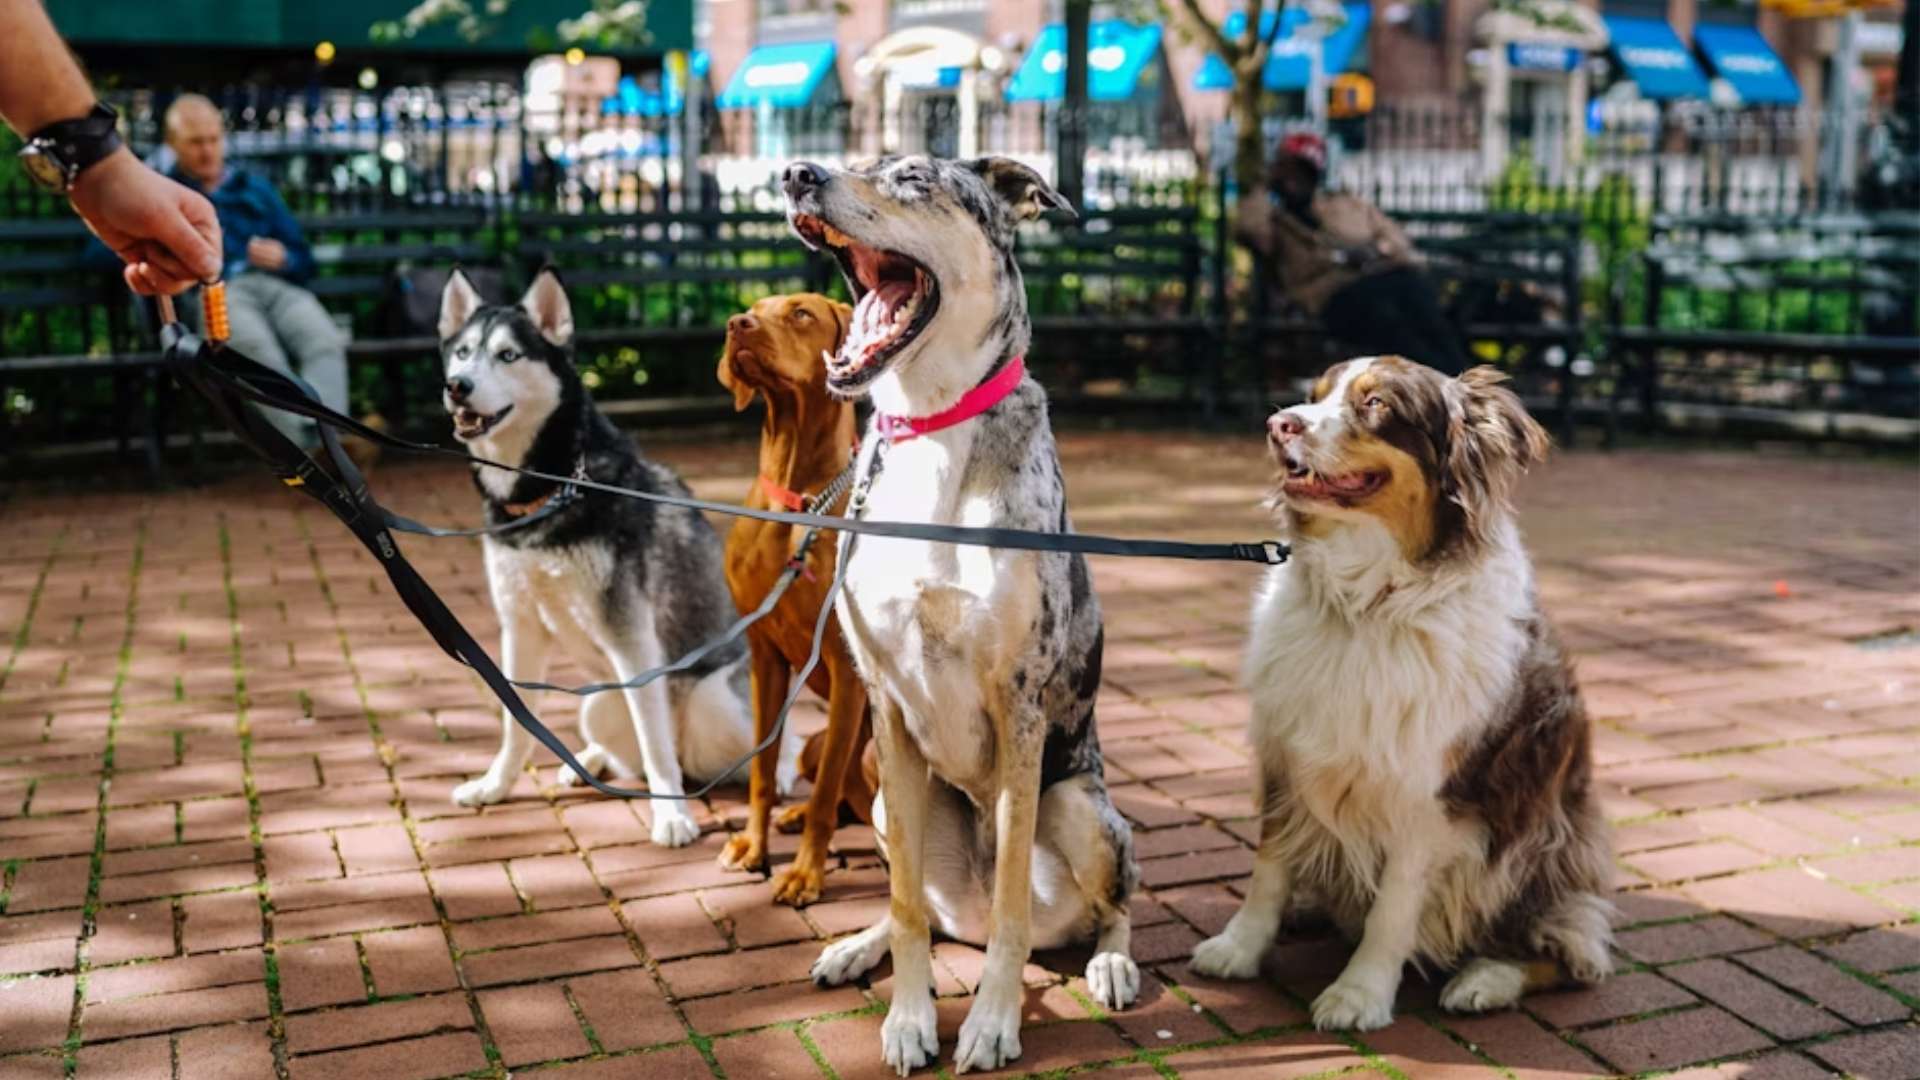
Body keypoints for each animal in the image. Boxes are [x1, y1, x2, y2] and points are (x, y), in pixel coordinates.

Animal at [718, 290, 875, 903]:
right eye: (753, 308)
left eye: (801, 313)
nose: (736, 325)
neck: (796, 501)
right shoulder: (764, 655)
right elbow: (763, 771)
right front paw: (754, 846)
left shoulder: (847, 668)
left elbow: (827, 793)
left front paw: (806, 873)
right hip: (812, 742)